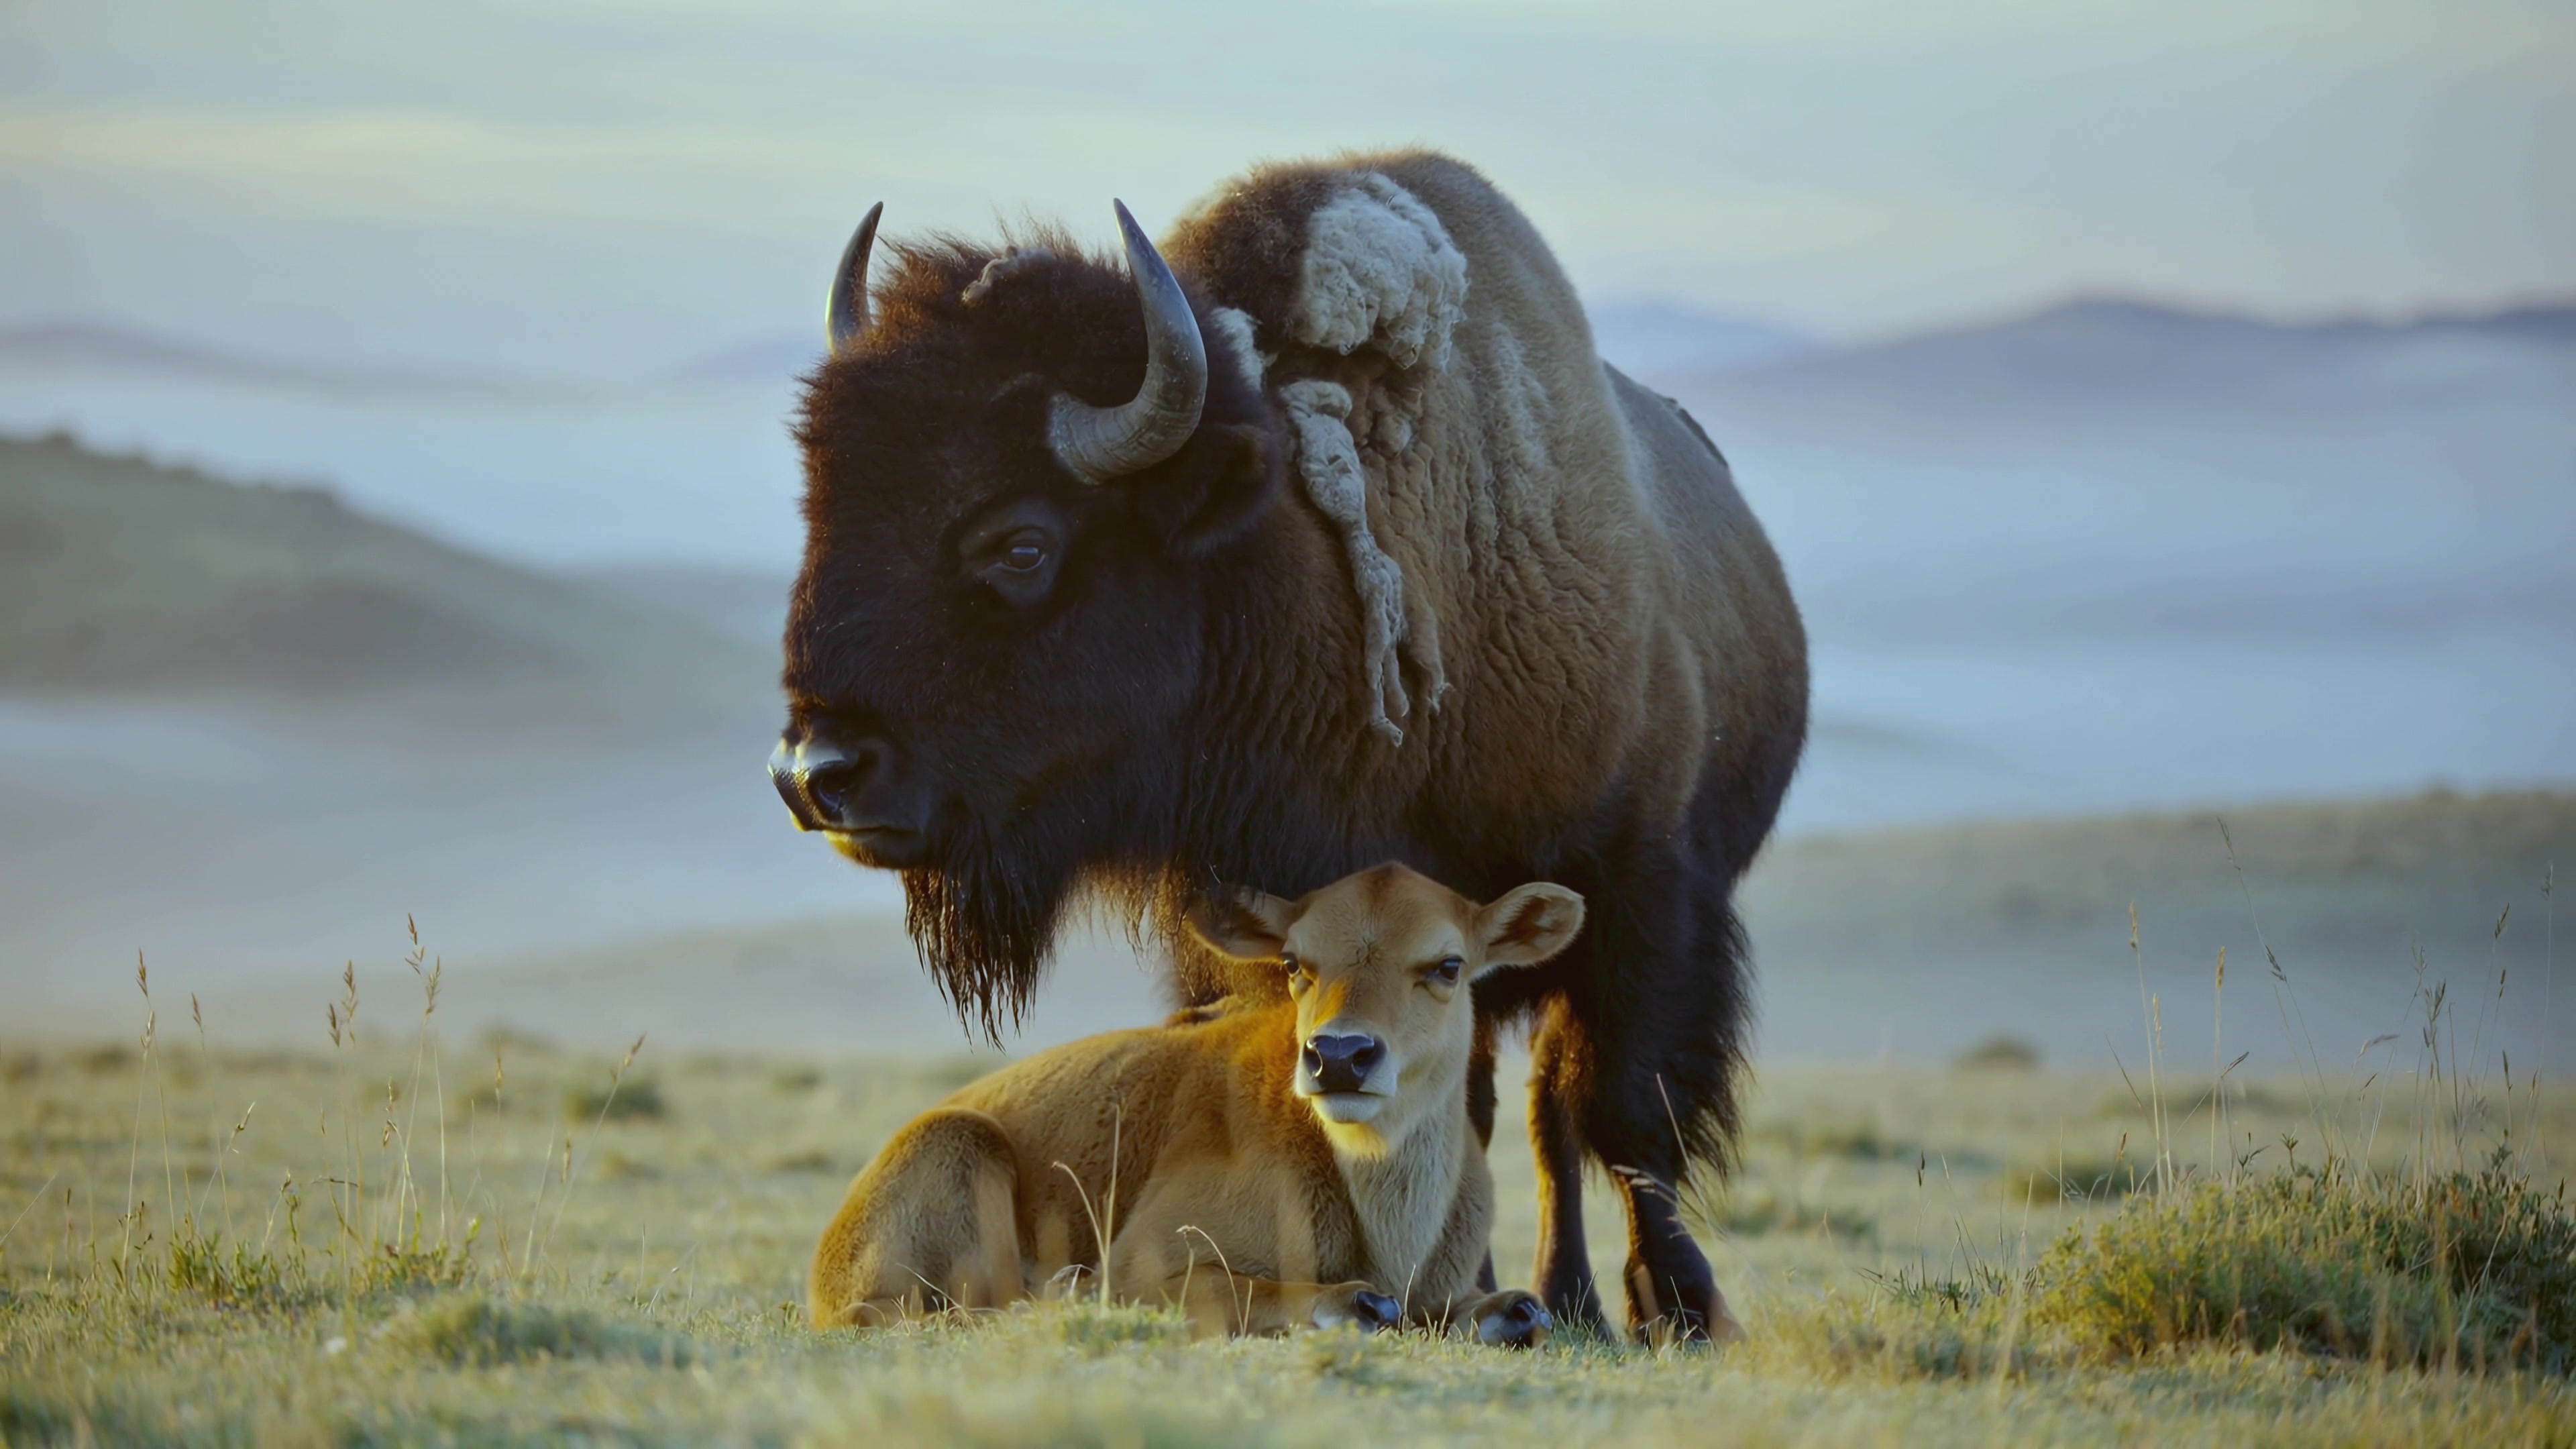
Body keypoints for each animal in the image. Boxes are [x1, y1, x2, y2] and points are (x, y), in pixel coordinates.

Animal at [809, 862, 1574, 1348]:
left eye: (1448, 964)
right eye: (1294, 962)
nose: (1340, 1056)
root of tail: (827, 1265)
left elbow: (1512, 1310)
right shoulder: (1145, 1267)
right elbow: (1293, 1295)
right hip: (957, 1152)